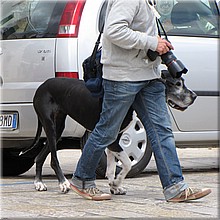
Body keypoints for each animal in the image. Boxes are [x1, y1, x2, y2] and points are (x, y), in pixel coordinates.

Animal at [20, 74, 196, 194]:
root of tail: (42, 85)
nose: (194, 96)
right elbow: (127, 163)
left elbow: (111, 167)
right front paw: (116, 183)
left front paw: (114, 186)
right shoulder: (112, 139)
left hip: (58, 129)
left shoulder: (113, 139)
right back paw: (63, 183)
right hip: (50, 125)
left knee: (40, 156)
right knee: (54, 159)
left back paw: (39, 183)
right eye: (177, 84)